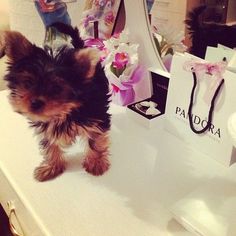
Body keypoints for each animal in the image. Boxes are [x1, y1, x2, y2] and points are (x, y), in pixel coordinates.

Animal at [0, 23, 110, 181]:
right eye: (28, 83)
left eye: (56, 88)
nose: (35, 103)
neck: (65, 111)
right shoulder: (46, 127)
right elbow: (50, 144)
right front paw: (51, 167)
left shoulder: (95, 117)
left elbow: (95, 139)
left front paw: (96, 162)